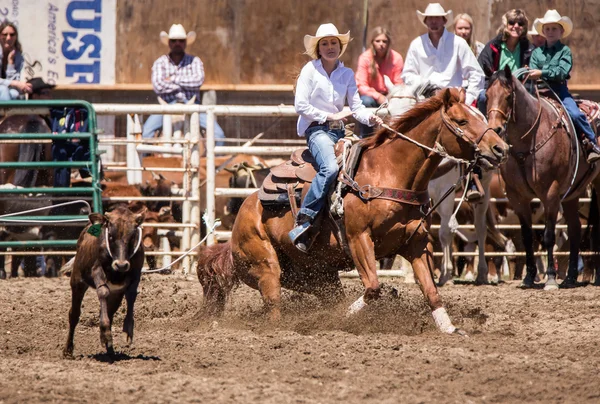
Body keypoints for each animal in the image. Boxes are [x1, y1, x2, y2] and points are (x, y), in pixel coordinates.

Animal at [63, 207, 146, 358]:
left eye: (132, 237)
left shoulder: (136, 272)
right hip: (77, 281)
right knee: (74, 314)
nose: (121, 265)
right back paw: (68, 350)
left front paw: (128, 329)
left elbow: (131, 294)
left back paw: (110, 350)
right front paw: (105, 335)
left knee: (110, 312)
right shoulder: (96, 269)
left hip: (116, 293)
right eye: (111, 236)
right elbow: (102, 291)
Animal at [199, 90, 508, 336]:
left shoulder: (417, 244)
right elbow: (372, 287)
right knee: (273, 303)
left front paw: (450, 328)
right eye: (462, 121)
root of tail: (240, 217)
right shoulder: (359, 239)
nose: (501, 148)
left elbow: (431, 292)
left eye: (480, 116)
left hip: (314, 276)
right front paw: (339, 320)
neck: (390, 173)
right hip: (265, 266)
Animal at [486, 64, 600, 288]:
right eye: (487, 95)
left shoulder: (550, 193)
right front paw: (529, 278)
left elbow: (548, 236)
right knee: (575, 229)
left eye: (507, 96)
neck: (528, 141)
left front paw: (550, 278)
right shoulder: (518, 197)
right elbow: (527, 237)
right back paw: (570, 278)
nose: (495, 129)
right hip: (573, 194)